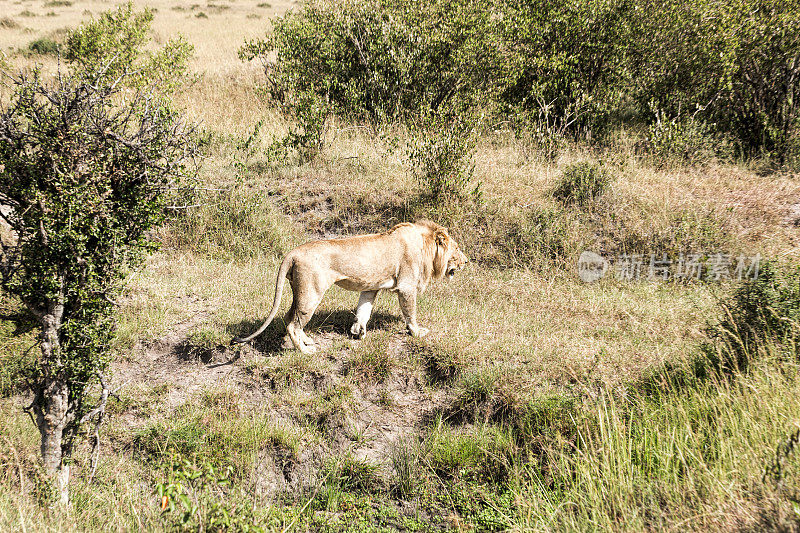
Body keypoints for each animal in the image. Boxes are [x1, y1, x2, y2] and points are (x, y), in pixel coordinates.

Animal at [231, 218, 468, 352]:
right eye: (456, 249)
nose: (467, 261)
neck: (425, 247)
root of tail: (293, 252)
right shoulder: (406, 286)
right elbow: (410, 314)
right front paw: (417, 332)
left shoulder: (371, 286)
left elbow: (364, 309)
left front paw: (358, 331)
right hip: (311, 293)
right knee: (292, 324)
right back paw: (304, 351)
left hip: (300, 292)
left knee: (290, 318)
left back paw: (307, 341)